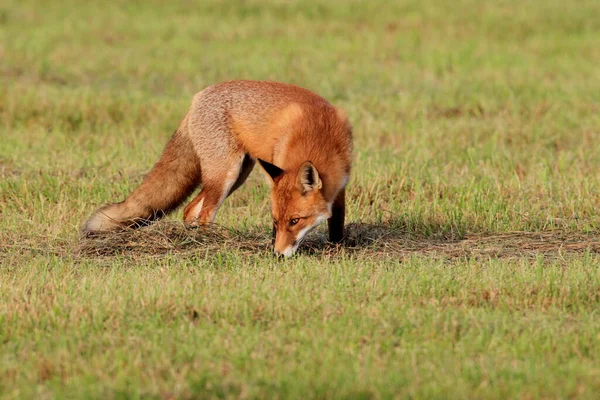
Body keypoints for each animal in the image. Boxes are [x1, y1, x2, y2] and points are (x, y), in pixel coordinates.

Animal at [85, 79, 356, 258]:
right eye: (276, 220)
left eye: (295, 220)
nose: (278, 255)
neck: (319, 135)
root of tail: (198, 97)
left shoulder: (340, 185)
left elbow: (337, 223)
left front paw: (337, 249)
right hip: (226, 175)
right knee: (204, 213)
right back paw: (210, 243)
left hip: (238, 174)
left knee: (189, 210)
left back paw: (194, 239)